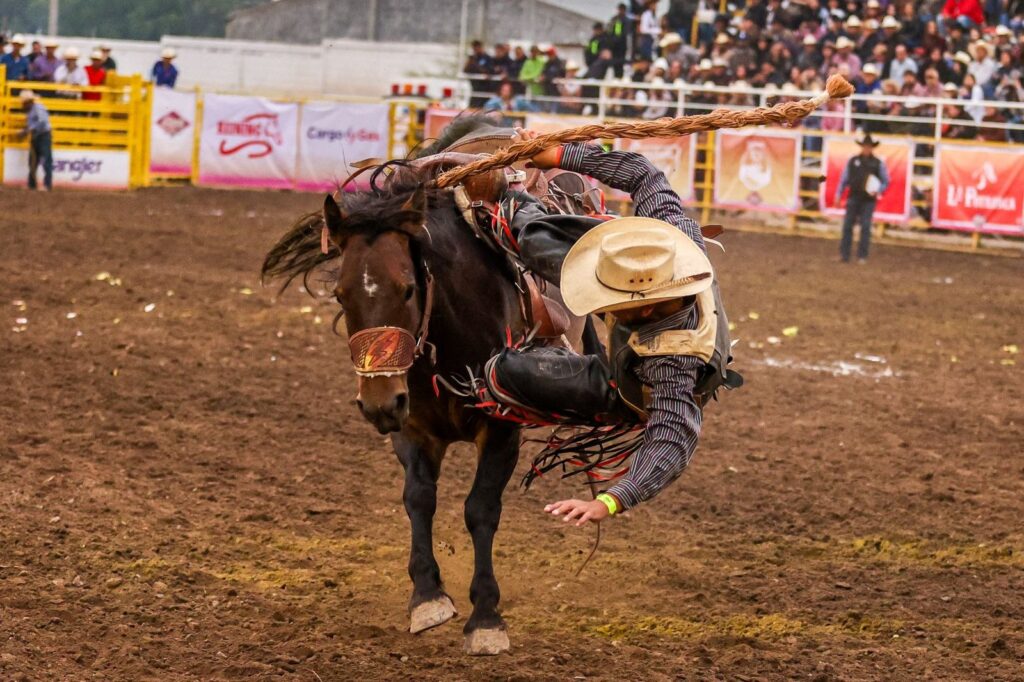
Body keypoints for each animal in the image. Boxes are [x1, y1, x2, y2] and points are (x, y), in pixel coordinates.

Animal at [261, 119, 564, 655]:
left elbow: (480, 509)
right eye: (340, 294)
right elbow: (418, 498)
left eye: (407, 288)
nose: (377, 404)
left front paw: (486, 617)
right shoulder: (411, 427)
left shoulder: (502, 431)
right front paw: (427, 596)